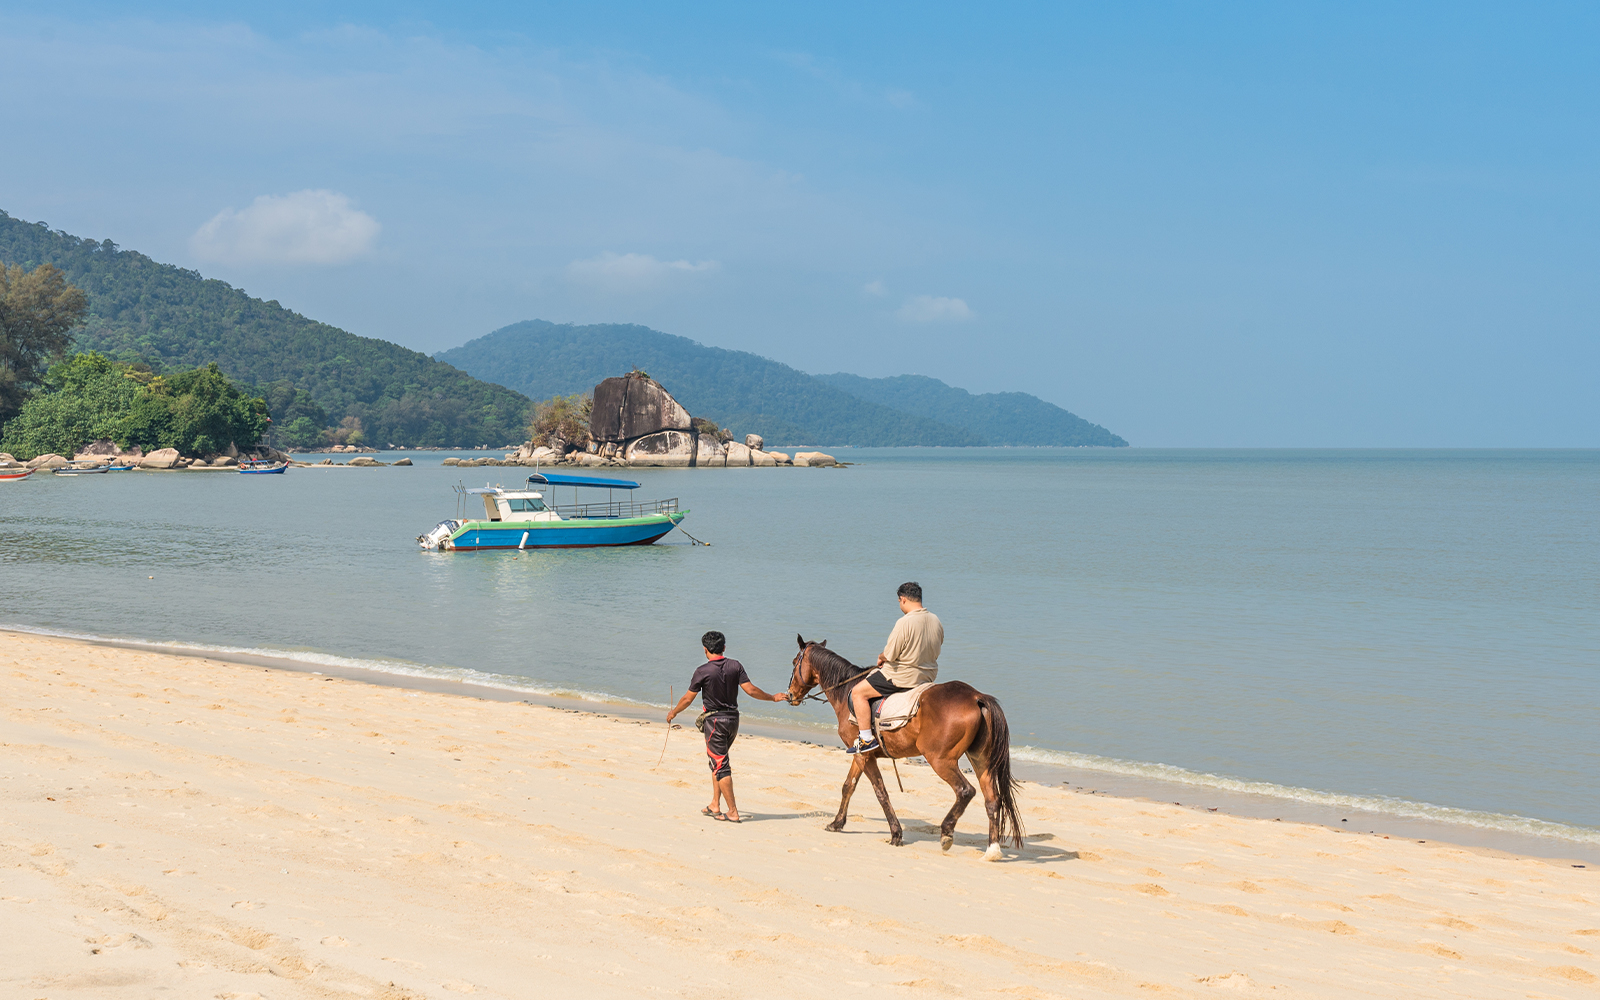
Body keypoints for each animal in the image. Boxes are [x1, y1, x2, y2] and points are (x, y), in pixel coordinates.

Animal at [786, 635, 1024, 860]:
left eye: (794, 662)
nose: (790, 695)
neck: (847, 692)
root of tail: (976, 697)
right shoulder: (860, 754)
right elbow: (849, 786)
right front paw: (837, 823)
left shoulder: (865, 756)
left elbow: (879, 792)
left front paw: (896, 834)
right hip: (980, 760)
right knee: (992, 800)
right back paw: (992, 850)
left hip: (940, 760)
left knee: (965, 791)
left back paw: (947, 832)